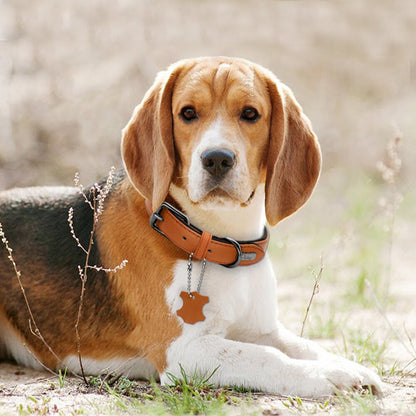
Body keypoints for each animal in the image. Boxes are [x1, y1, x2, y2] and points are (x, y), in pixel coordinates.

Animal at [0, 56, 384, 396]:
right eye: (187, 113)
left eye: (250, 114)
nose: (217, 158)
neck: (220, 241)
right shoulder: (183, 351)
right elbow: (267, 357)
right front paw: (328, 376)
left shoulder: (263, 329)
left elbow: (302, 345)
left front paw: (348, 367)